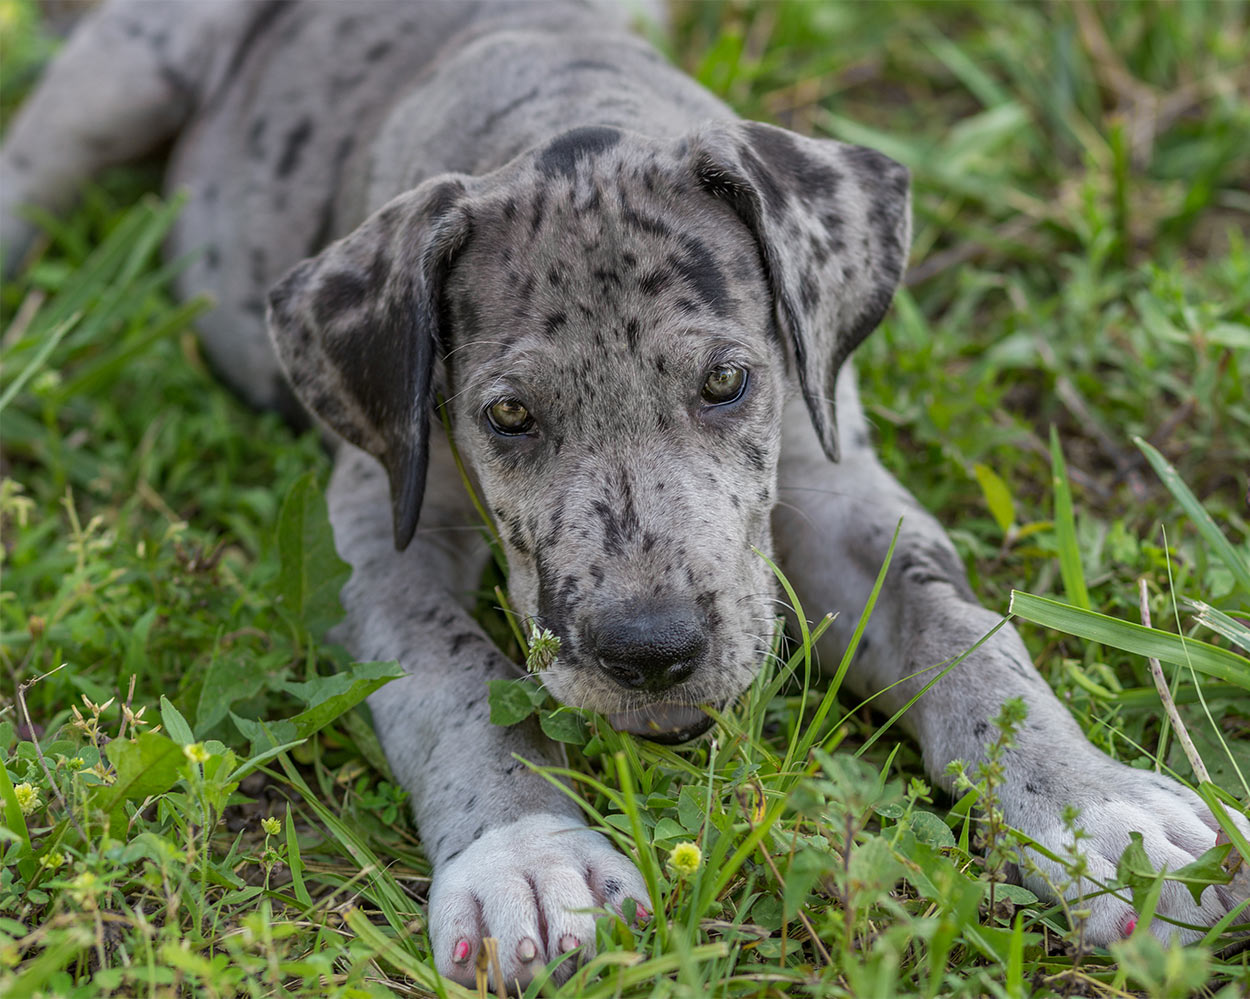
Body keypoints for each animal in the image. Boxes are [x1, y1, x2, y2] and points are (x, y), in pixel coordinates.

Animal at [4, 0, 1245, 985]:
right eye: (507, 416)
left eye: (724, 382)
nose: (649, 656)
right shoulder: (378, 526)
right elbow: (451, 677)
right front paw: (528, 856)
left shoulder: (832, 476)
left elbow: (969, 639)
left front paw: (1099, 815)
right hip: (131, 67)